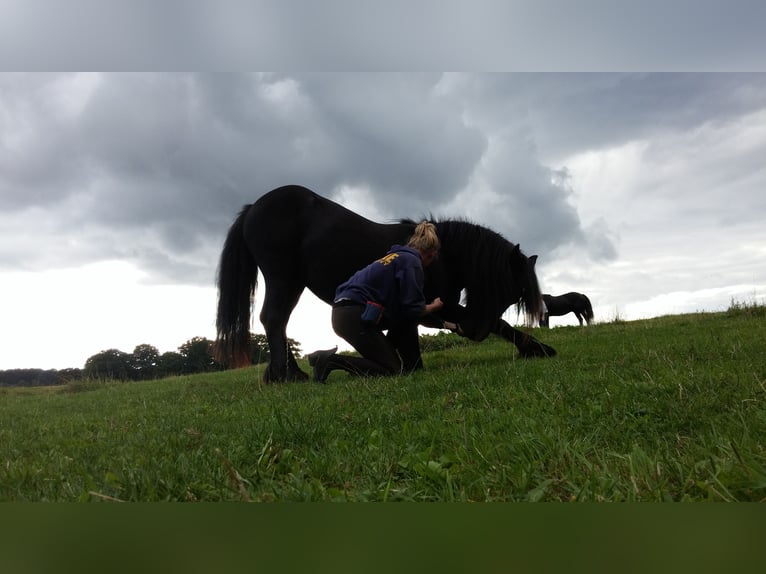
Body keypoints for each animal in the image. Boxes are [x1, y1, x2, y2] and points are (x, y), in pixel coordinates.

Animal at [215, 185, 556, 382]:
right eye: (503, 287)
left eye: (511, 295)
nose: (474, 332)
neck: (444, 255)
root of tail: (254, 207)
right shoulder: (435, 307)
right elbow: (499, 324)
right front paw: (538, 348)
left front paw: (537, 348)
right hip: (284, 279)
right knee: (274, 319)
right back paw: (288, 375)